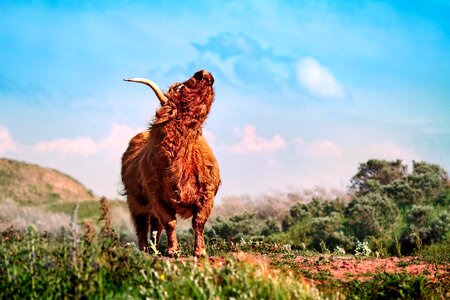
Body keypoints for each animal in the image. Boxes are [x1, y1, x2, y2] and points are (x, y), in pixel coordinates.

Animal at [122, 70, 221, 258]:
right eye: (181, 87)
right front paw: (173, 251)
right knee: (142, 224)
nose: (203, 73)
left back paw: (154, 248)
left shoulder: (207, 193)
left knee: (154, 226)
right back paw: (145, 250)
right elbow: (170, 222)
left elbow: (199, 221)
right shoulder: (157, 197)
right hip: (135, 201)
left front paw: (200, 252)